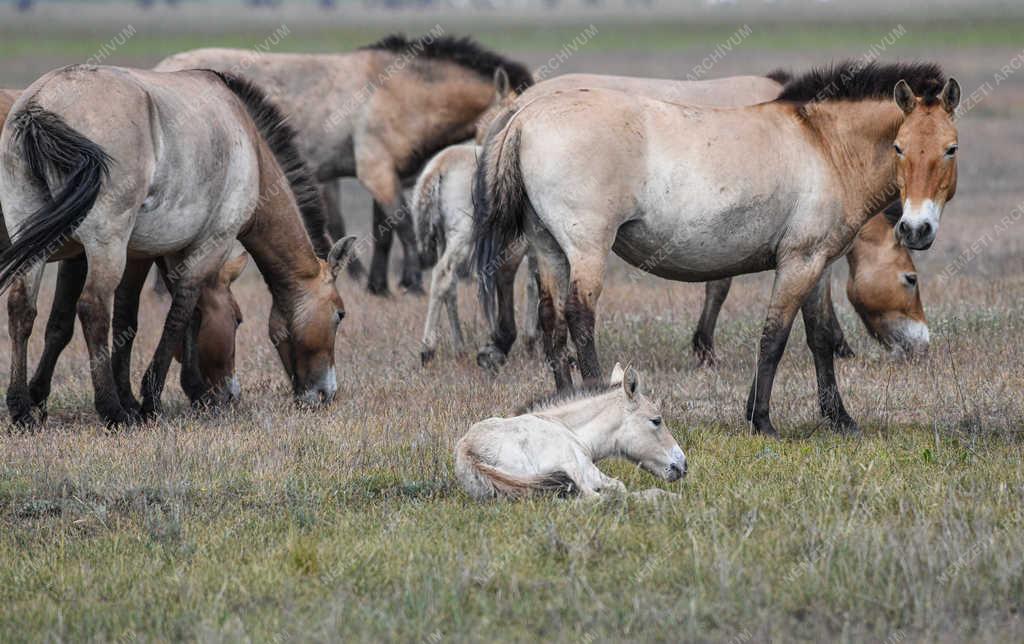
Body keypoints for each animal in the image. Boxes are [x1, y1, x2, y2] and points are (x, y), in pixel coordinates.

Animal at [0, 66, 356, 427]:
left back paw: (21, 408)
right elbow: (178, 313)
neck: (250, 148)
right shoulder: (209, 244)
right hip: (106, 244)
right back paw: (112, 410)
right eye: (339, 314)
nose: (325, 394)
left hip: (34, 238)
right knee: (92, 308)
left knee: (21, 307)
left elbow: (176, 314)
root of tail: (41, 103)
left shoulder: (160, 254)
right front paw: (152, 400)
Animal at [157, 33, 536, 296]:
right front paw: (412, 283)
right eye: (509, 121)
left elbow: (384, 233)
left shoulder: (387, 175)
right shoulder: (377, 173)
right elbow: (404, 229)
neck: (396, 91)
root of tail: (159, 70)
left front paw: (379, 287)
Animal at [413, 143, 544, 364]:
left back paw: (460, 348)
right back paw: (427, 350)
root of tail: (439, 165)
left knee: (450, 287)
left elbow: (533, 283)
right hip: (464, 234)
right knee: (442, 274)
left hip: (443, 238)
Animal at [456, 364, 688, 499]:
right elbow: (619, 488)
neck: (568, 429)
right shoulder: (587, 469)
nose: (683, 464)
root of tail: (471, 454)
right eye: (656, 421)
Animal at [471, 62, 958, 434]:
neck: (824, 145)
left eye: (950, 148)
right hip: (586, 248)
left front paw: (840, 419)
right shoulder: (798, 263)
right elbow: (773, 339)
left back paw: (563, 406)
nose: (918, 229)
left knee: (552, 325)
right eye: (899, 147)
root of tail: (524, 115)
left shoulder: (817, 265)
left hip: (549, 249)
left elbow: (819, 338)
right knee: (579, 318)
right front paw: (761, 420)